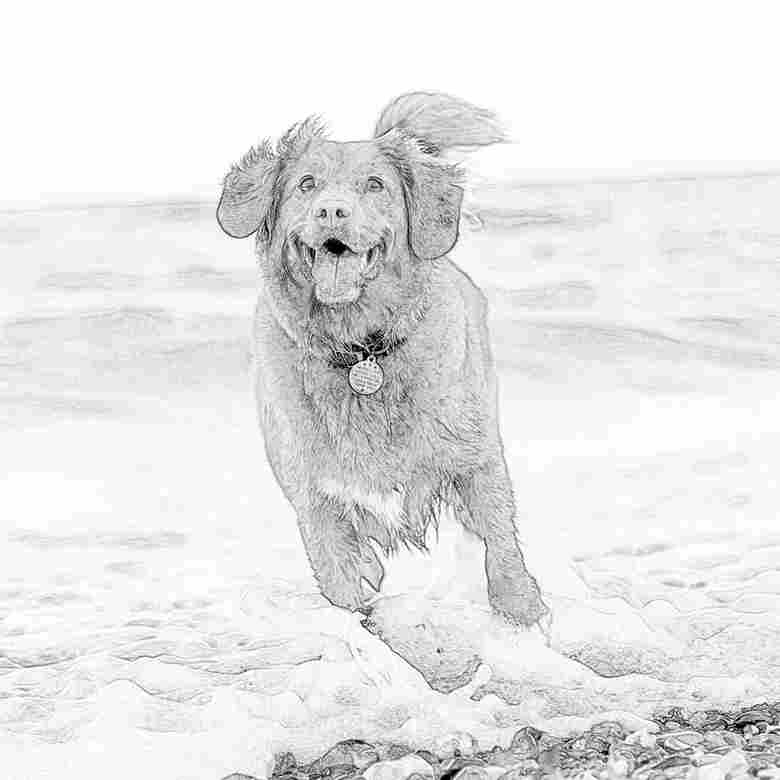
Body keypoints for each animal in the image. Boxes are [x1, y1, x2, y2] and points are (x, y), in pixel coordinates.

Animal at [218, 91, 548, 628]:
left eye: (375, 185)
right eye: (306, 184)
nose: (332, 210)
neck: (361, 350)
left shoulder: (477, 457)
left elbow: (500, 540)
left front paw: (524, 609)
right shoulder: (315, 498)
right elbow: (344, 580)